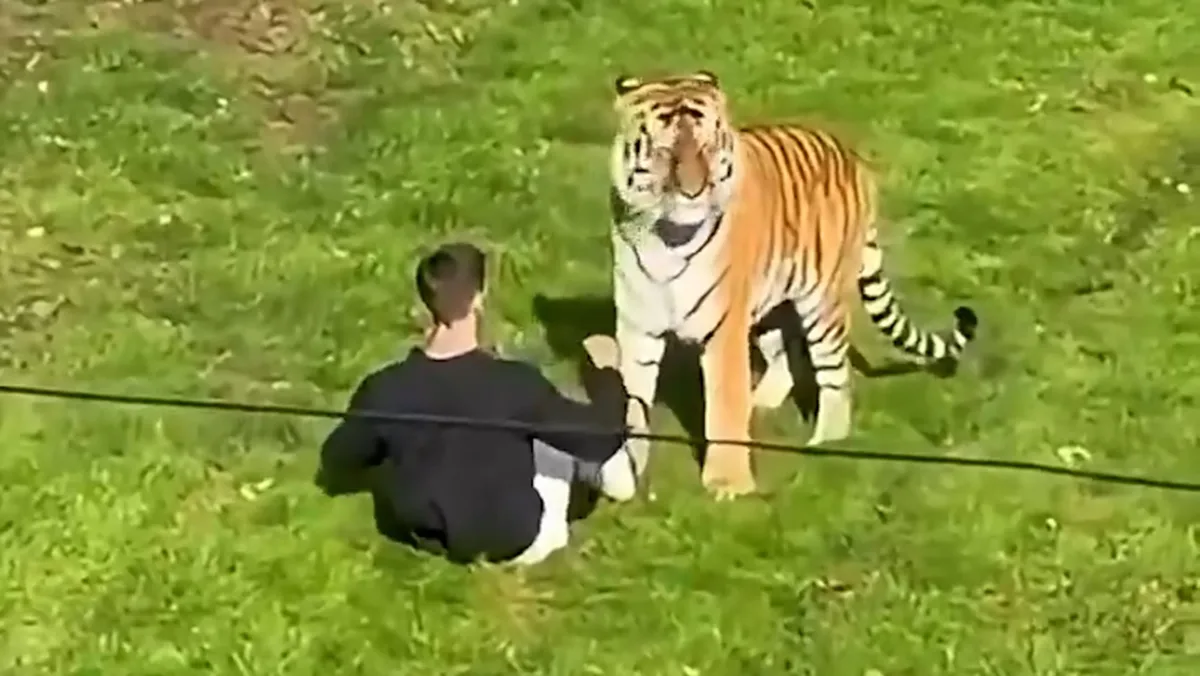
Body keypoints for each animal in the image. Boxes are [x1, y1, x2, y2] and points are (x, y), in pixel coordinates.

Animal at [606, 70, 979, 499]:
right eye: (666, 152)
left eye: (707, 147)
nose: (694, 192)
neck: (664, 235)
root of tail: (852, 159)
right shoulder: (637, 326)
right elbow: (631, 399)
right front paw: (625, 470)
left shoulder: (723, 328)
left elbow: (723, 405)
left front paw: (729, 484)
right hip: (771, 299)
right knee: (783, 351)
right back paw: (761, 402)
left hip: (823, 304)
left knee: (834, 376)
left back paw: (826, 443)